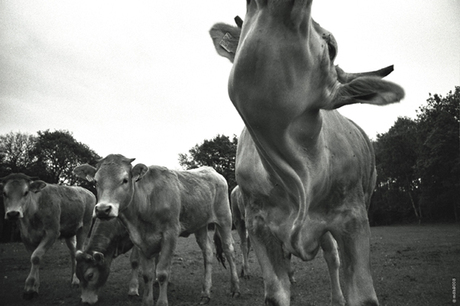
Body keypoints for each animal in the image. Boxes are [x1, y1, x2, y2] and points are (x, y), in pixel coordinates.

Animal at [73, 155, 239, 306]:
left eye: (125, 180)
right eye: (95, 181)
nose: (102, 209)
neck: (147, 202)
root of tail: (211, 170)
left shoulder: (170, 234)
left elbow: (162, 272)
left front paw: (159, 300)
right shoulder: (139, 239)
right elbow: (147, 274)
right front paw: (147, 300)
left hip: (224, 219)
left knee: (228, 250)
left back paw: (235, 288)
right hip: (200, 226)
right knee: (208, 253)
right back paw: (205, 293)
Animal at [209, 1, 406, 304]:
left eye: (332, 46)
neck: (298, 174)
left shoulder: (353, 220)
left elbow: (361, 293)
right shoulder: (258, 225)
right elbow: (275, 293)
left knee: (332, 257)